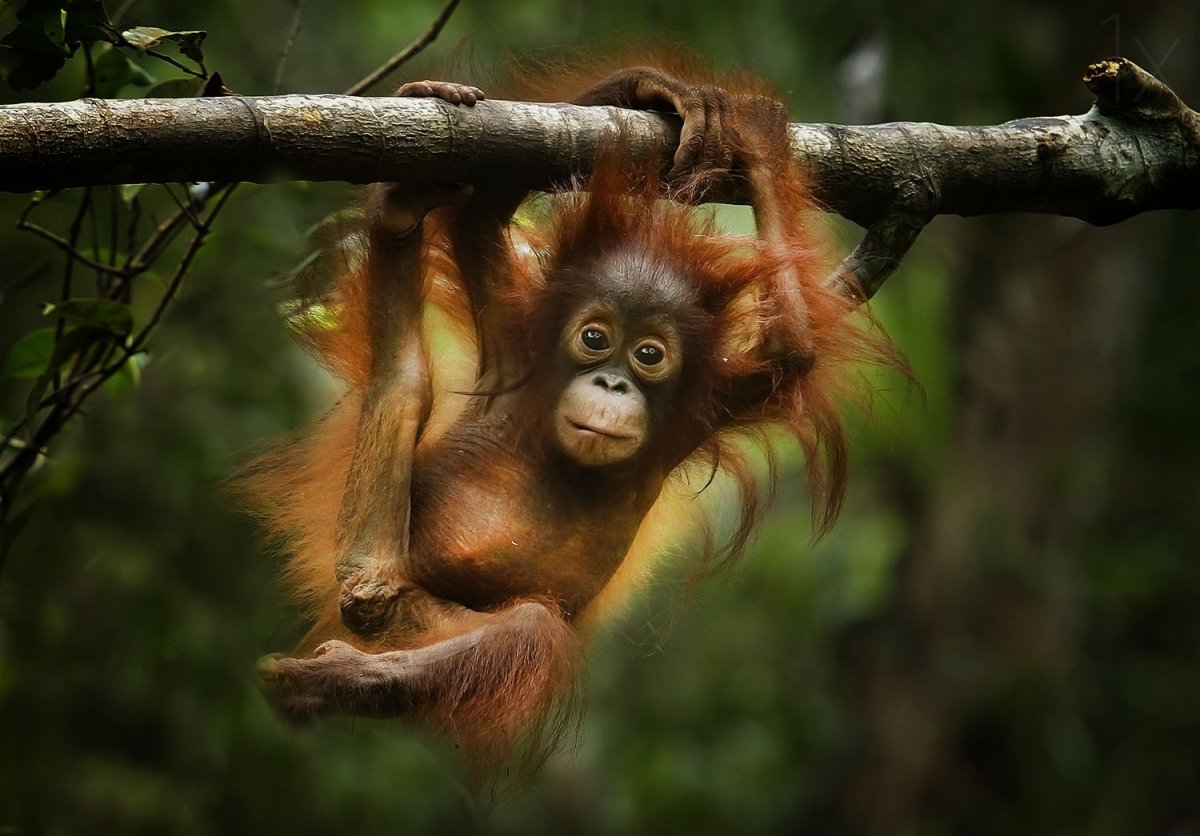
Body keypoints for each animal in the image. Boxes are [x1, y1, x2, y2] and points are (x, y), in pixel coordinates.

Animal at [250, 63, 893, 771]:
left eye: (649, 355)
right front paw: (659, 90)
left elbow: (791, 349)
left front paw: (745, 136)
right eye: (593, 338)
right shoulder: (518, 343)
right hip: (406, 612)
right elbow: (482, 218)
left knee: (516, 620)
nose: (611, 381)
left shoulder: (706, 405)